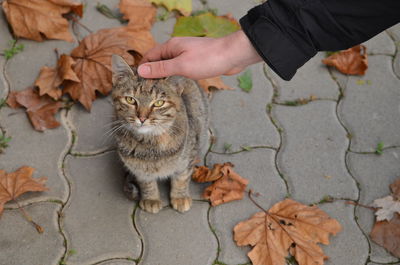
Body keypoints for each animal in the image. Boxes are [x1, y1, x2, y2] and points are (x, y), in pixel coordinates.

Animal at [110, 54, 208, 213]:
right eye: (130, 99)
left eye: (159, 103)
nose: (142, 118)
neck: (150, 145)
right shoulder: (139, 170)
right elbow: (146, 183)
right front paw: (151, 198)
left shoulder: (186, 159)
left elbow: (181, 177)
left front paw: (180, 196)